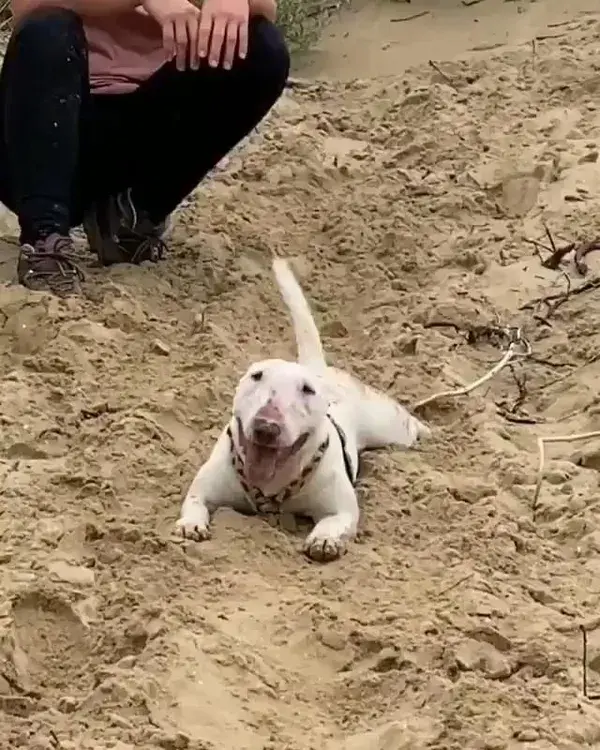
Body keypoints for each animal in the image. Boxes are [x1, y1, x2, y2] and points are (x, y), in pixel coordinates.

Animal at [176, 262, 428, 560]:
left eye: (307, 390)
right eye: (256, 376)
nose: (266, 426)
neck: (271, 486)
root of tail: (317, 368)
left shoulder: (340, 509)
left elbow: (335, 521)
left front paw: (324, 540)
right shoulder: (205, 488)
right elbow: (195, 502)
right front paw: (191, 525)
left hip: (387, 427)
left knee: (405, 422)